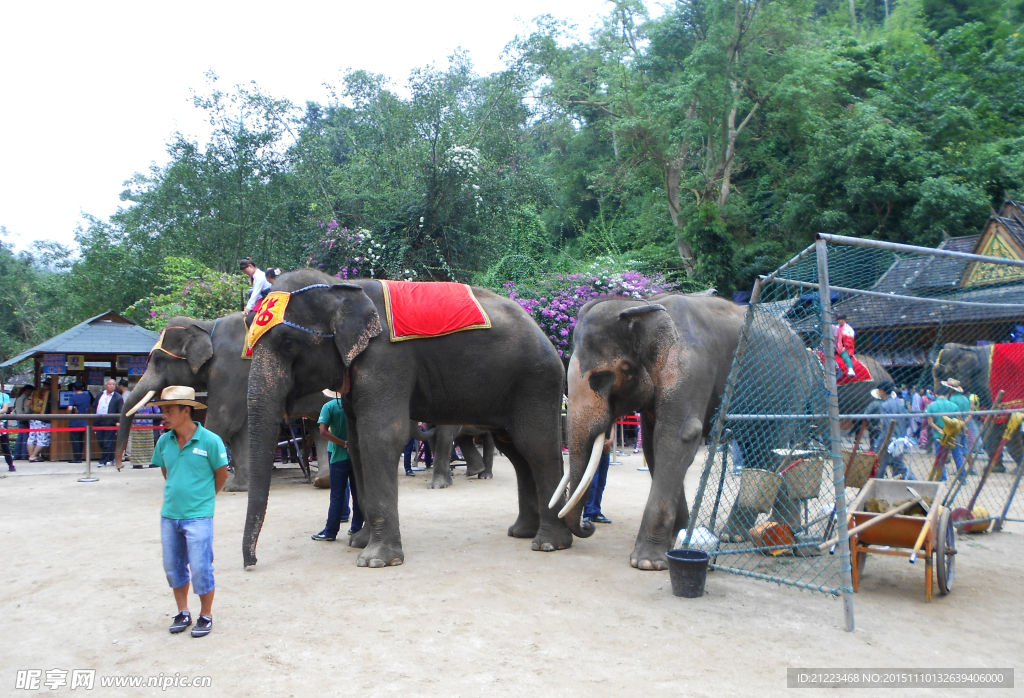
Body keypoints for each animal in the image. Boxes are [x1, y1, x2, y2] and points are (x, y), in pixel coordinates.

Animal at [117, 313, 329, 487]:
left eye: (158, 360)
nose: (119, 466)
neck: (206, 326)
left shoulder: (231, 369)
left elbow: (224, 419)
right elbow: (239, 429)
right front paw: (237, 487)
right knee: (317, 427)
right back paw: (322, 481)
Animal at [241, 268, 577, 569]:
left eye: (288, 342)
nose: (251, 563)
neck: (340, 285)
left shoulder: (386, 360)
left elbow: (380, 437)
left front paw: (375, 561)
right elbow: (357, 444)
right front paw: (358, 543)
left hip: (536, 382)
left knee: (536, 447)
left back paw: (549, 544)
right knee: (517, 453)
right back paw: (522, 533)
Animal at [565, 290, 827, 569]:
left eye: (600, 378)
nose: (588, 526)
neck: (640, 306)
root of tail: (805, 347)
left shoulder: (690, 367)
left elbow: (678, 437)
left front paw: (647, 562)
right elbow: (653, 444)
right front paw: (676, 537)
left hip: (787, 389)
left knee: (766, 449)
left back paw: (756, 535)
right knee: (776, 450)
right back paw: (773, 534)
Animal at [933, 339, 1019, 470]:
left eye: (942, 372)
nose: (946, 461)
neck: (972, 349)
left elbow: (1002, 421)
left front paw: (997, 468)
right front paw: (999, 468)